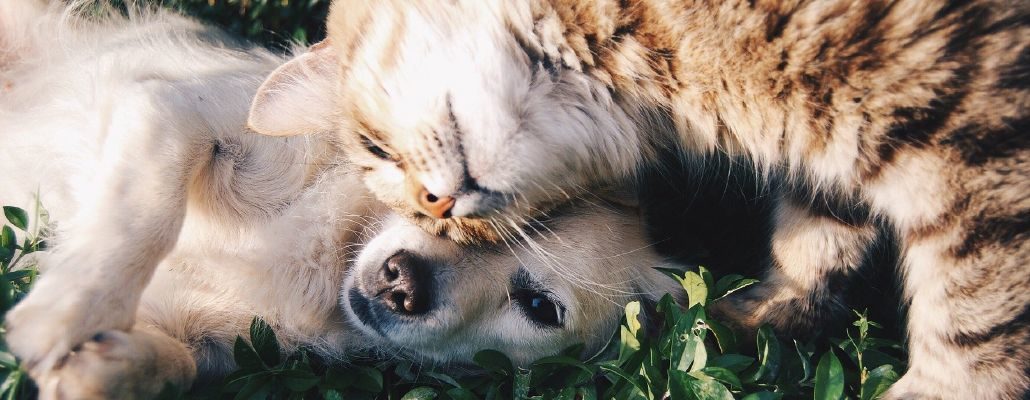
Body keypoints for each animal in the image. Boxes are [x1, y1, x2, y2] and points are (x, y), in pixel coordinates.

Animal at [251, 1, 1030, 397]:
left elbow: (975, 319)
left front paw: (943, 389)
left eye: (375, 150)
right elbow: (817, 234)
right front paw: (760, 317)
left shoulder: (974, 133)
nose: (436, 209)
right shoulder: (833, 148)